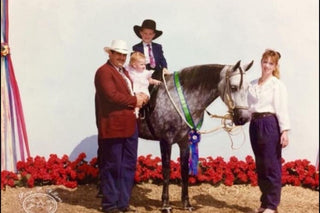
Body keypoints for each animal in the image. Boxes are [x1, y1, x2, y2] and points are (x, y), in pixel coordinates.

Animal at [139, 60, 254, 211]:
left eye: (248, 88)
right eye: (233, 87)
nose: (244, 118)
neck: (178, 99)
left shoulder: (185, 142)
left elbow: (184, 170)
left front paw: (186, 203)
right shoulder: (165, 141)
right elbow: (166, 170)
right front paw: (165, 204)